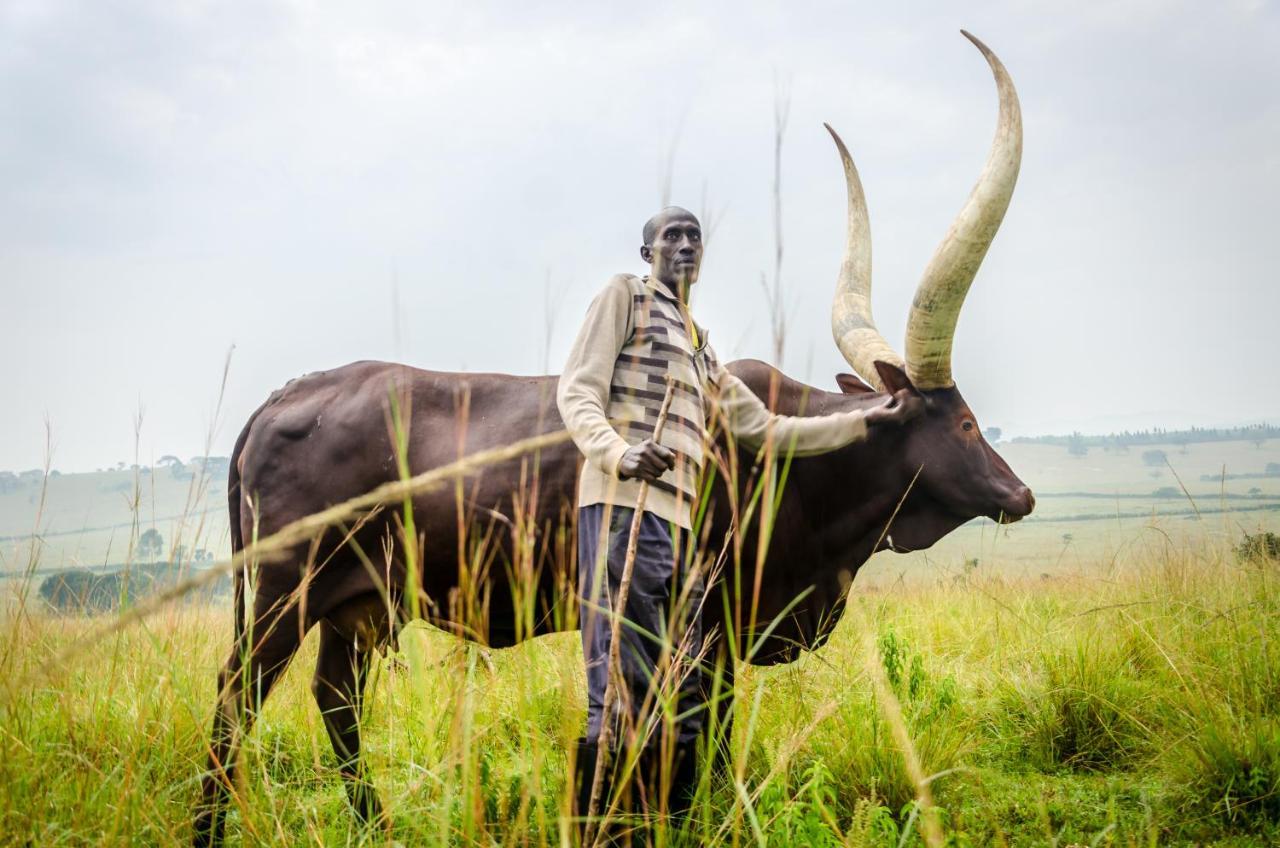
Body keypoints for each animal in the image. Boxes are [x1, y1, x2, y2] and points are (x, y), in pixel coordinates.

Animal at [192, 29, 1029, 845]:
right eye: (965, 422)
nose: (1020, 494)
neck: (804, 472)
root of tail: (285, 395)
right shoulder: (703, 629)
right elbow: (701, 739)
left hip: (360, 607)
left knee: (335, 700)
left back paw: (375, 825)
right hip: (279, 598)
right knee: (235, 703)